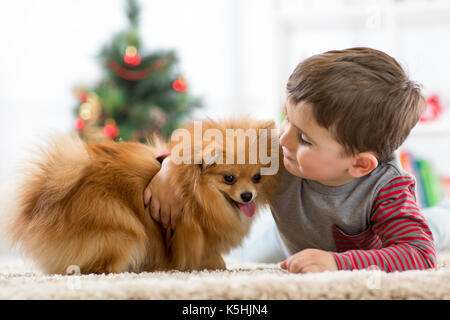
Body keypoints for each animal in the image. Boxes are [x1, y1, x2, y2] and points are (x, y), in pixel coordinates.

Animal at [7, 117, 280, 276]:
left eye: (257, 177)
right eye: (229, 178)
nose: (247, 195)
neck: (195, 191)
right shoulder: (194, 234)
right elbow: (208, 255)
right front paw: (215, 265)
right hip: (122, 229)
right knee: (100, 266)